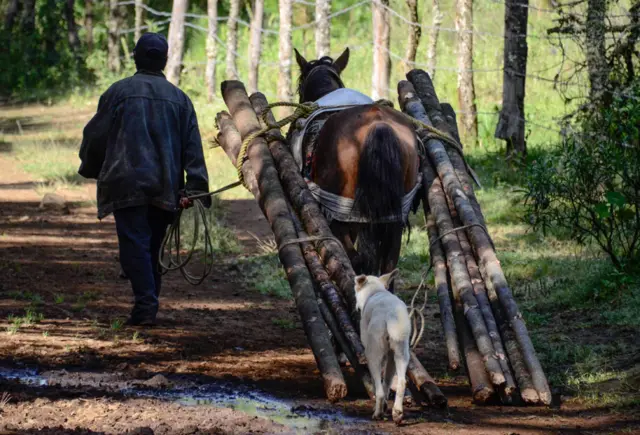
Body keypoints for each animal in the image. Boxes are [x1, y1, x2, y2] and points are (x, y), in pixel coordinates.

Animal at [292, 48, 422, 290]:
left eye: (299, 85)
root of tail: (377, 124)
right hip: (393, 220)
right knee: (389, 266)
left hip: (342, 218)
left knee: (356, 260)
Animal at [356, 270, 410, 424]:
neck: (375, 291)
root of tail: (391, 314)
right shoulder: (391, 357)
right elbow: (387, 382)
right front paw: (387, 406)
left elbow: (377, 385)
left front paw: (381, 407)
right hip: (402, 354)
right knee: (402, 382)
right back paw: (397, 413)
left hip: (372, 355)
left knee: (379, 392)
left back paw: (377, 414)